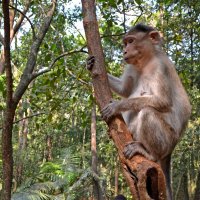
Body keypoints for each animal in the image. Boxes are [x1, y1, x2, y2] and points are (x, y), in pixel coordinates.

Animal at [86, 23, 191, 200]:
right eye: (125, 43)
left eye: (131, 41)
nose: (125, 51)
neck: (145, 61)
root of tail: (172, 148)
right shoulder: (132, 65)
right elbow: (124, 89)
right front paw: (89, 64)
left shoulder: (160, 67)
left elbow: (162, 101)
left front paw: (117, 105)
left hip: (167, 139)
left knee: (147, 111)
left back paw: (150, 153)